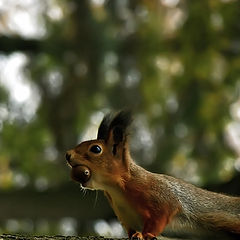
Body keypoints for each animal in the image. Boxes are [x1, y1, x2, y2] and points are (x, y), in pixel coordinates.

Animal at [66, 110, 240, 240]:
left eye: (96, 149)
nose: (67, 155)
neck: (116, 189)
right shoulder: (125, 218)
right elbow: (131, 230)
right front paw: (135, 234)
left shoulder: (159, 195)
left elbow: (162, 215)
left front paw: (146, 234)